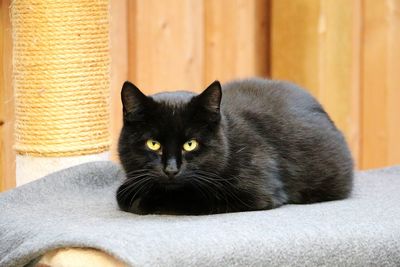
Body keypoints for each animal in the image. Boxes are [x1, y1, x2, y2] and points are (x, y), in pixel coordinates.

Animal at [116, 78, 354, 216]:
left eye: (190, 144)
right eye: (153, 144)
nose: (171, 169)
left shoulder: (252, 191)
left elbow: (187, 197)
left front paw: (142, 200)